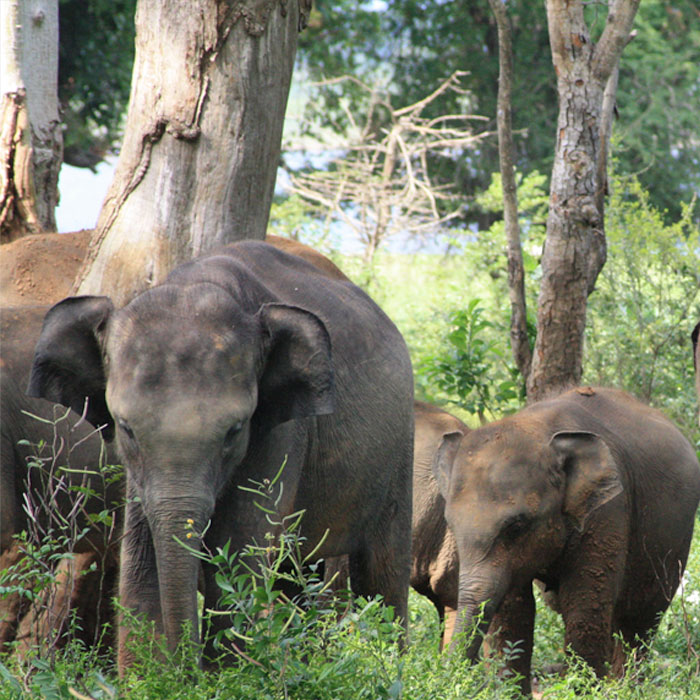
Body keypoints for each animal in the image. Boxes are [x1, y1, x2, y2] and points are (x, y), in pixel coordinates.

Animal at [30, 242, 416, 672]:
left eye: (234, 430)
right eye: (126, 427)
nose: (186, 672)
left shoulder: (280, 431)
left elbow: (238, 552)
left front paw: (228, 676)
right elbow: (142, 560)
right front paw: (149, 677)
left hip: (399, 450)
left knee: (383, 571)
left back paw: (392, 665)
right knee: (301, 574)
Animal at [432, 386, 700, 696]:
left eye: (516, 526)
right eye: (451, 524)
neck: (539, 428)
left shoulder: (608, 508)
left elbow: (584, 605)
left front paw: (583, 692)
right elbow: (514, 607)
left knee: (639, 619)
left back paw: (626, 689)